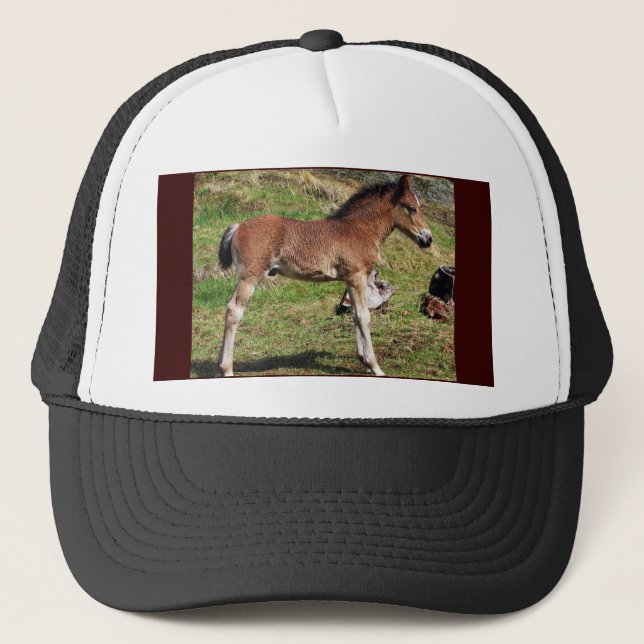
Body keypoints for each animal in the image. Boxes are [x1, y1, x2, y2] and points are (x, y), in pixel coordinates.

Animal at [217, 174, 433, 377]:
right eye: (411, 208)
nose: (428, 239)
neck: (360, 229)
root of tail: (238, 226)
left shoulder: (349, 280)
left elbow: (354, 314)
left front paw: (363, 359)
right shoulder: (357, 277)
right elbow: (364, 316)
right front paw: (375, 366)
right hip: (250, 278)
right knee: (233, 311)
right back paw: (227, 369)